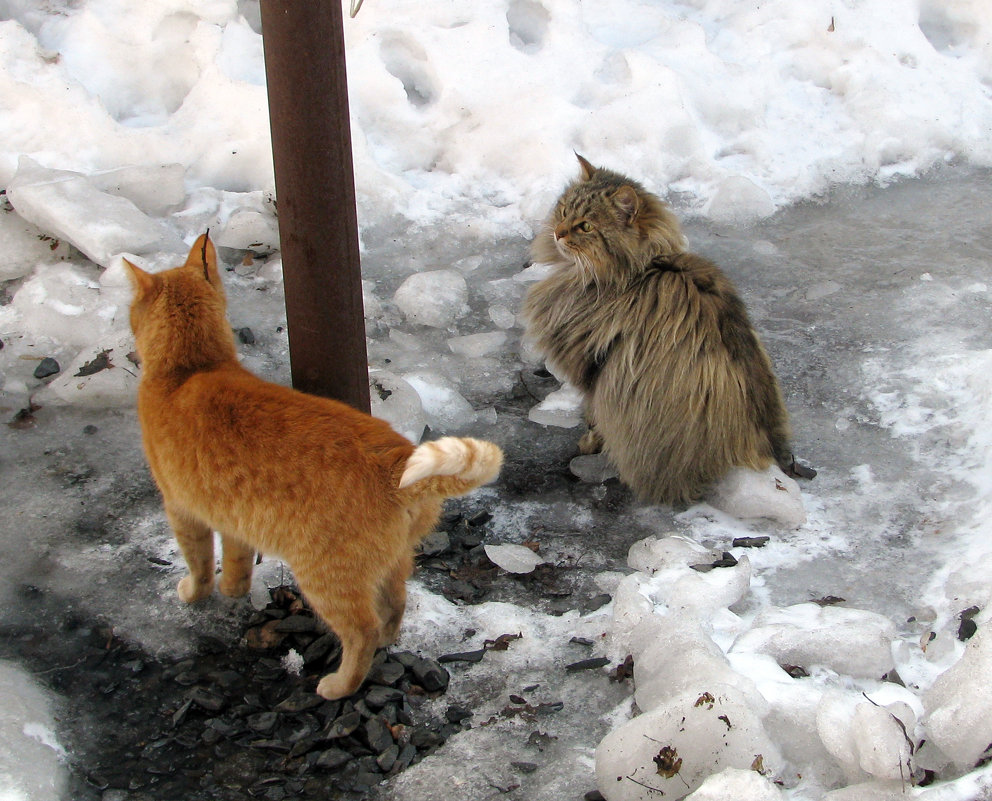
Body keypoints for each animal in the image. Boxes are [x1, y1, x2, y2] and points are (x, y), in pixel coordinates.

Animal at [125, 234, 504, 696]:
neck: (192, 367)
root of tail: (396, 460)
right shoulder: (232, 516)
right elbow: (236, 560)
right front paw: (233, 589)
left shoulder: (181, 509)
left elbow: (198, 563)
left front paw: (195, 592)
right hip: (391, 562)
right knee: (395, 602)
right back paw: (388, 639)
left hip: (325, 575)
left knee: (361, 629)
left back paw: (340, 684)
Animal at [524, 155, 796, 506]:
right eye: (564, 211)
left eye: (585, 226)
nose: (558, 233)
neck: (637, 270)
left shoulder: (595, 367)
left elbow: (594, 417)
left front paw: (589, 443)